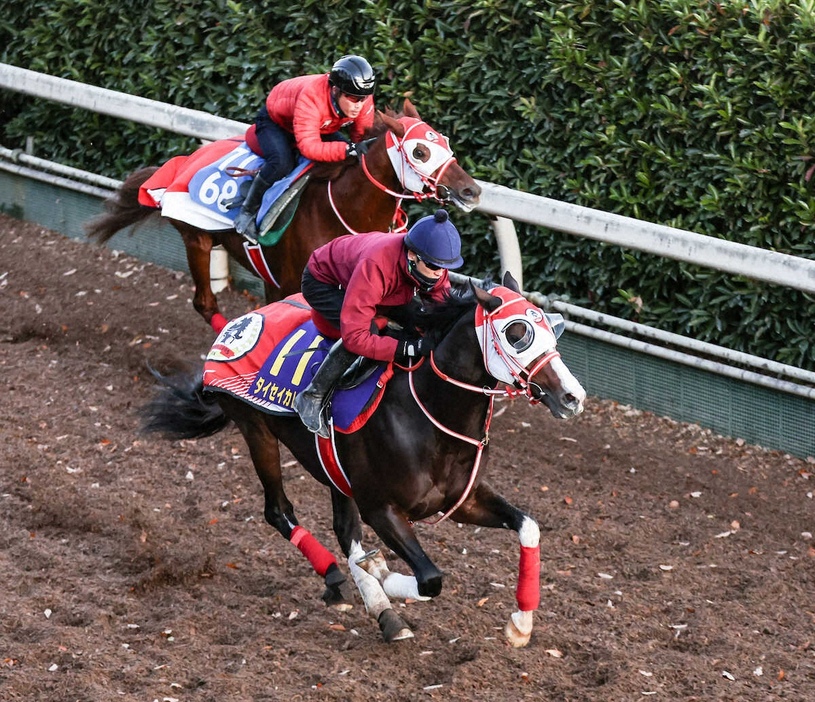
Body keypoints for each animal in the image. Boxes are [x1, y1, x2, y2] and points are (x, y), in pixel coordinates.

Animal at [86, 100, 482, 334]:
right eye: (420, 151)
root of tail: (181, 164)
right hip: (196, 239)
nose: (472, 192)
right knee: (204, 302)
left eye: (445, 143)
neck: (342, 211)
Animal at [140, 272, 588, 648]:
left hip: (335, 471)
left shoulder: (464, 500)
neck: (429, 414)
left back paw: (374, 602)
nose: (573, 396)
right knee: (279, 511)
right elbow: (430, 580)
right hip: (257, 432)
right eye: (517, 333)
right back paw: (343, 576)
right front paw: (381, 576)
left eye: (553, 327)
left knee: (343, 529)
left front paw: (520, 625)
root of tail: (238, 325)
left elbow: (529, 526)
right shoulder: (382, 509)